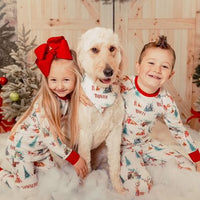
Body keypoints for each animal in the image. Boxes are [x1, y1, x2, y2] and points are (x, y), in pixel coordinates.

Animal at [76, 27, 125, 192]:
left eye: (112, 48)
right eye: (94, 50)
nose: (109, 71)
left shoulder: (115, 132)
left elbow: (115, 165)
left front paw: (119, 189)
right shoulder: (85, 135)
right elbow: (85, 164)